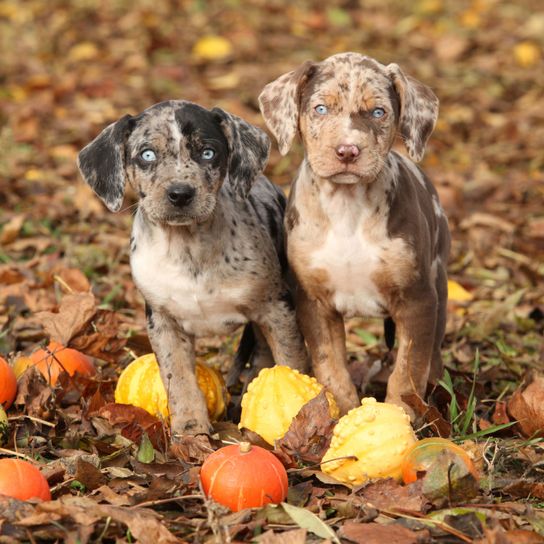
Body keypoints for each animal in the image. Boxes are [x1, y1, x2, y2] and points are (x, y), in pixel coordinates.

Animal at [77, 99, 308, 438]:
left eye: (208, 153)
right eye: (147, 155)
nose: (180, 194)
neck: (187, 249)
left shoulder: (277, 309)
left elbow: (292, 363)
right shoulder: (162, 321)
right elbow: (179, 378)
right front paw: (190, 427)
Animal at [260, 53, 450, 418]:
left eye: (378, 112)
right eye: (320, 109)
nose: (347, 151)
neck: (347, 208)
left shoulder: (418, 298)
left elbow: (408, 369)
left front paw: (400, 416)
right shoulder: (314, 302)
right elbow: (330, 366)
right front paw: (339, 413)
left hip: (440, 284)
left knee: (432, 355)